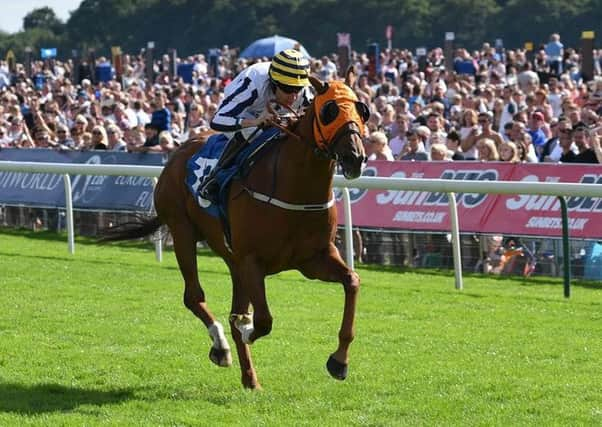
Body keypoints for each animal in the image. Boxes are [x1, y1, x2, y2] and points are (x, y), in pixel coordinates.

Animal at [102, 73, 366, 392]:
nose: (355, 157)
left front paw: (339, 361)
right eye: (329, 111)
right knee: (194, 297)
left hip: (232, 260)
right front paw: (246, 329)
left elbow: (351, 282)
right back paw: (222, 348)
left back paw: (250, 378)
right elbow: (261, 320)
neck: (295, 187)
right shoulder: (252, 261)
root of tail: (177, 152)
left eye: (362, 110)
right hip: (183, 231)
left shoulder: (314, 259)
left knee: (231, 310)